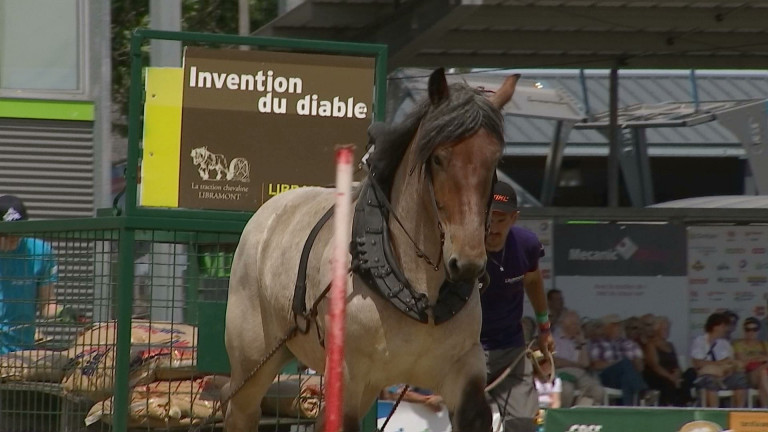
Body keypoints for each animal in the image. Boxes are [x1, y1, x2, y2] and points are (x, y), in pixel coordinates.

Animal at [224, 68, 519, 432]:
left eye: (494, 160)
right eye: (439, 158)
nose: (466, 264)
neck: (420, 291)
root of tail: (269, 211)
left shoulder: (463, 370)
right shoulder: (347, 379)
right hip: (252, 367)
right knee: (242, 410)